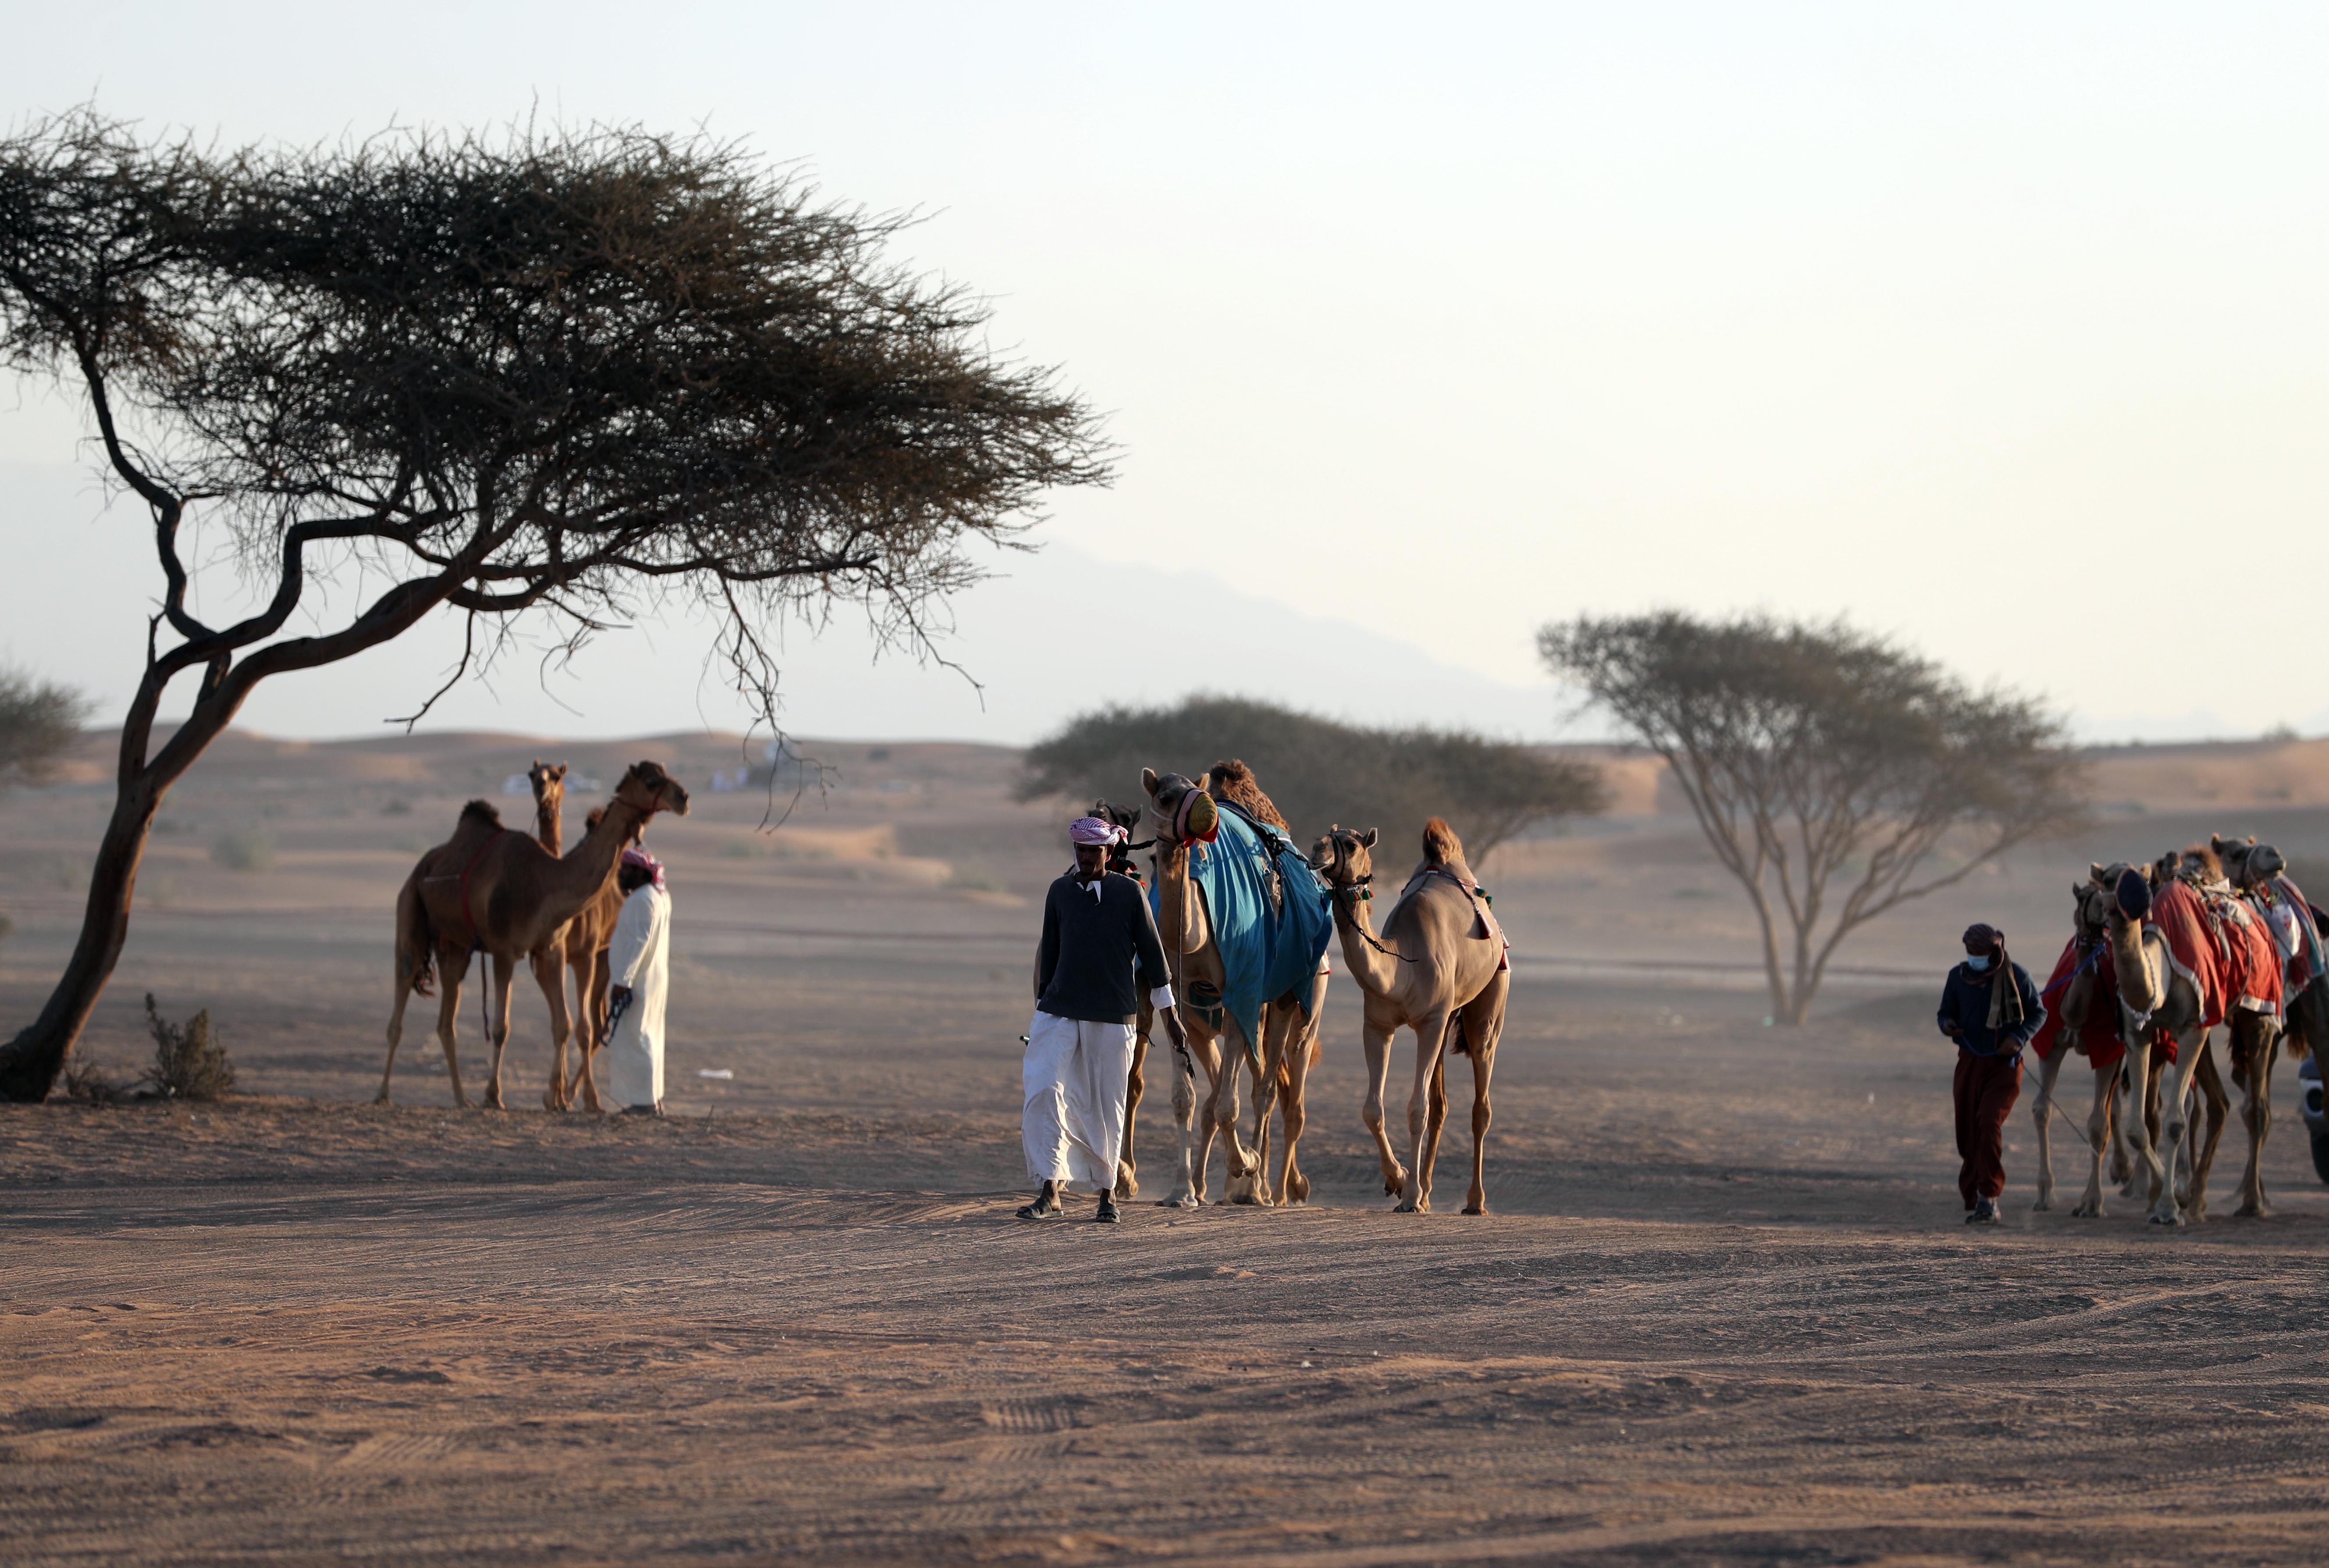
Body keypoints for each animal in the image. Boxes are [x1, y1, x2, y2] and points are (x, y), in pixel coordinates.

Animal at [379, 759, 689, 1109]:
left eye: (667, 775)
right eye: (652, 782)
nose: (684, 797)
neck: (545, 881)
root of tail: (422, 868)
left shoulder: (551, 949)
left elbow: (565, 1025)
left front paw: (560, 1100)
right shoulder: (505, 951)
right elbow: (502, 1027)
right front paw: (494, 1096)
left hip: (455, 947)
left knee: (447, 1023)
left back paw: (462, 1099)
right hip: (411, 912)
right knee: (401, 1000)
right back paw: (383, 1094)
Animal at [1141, 764, 1332, 1202]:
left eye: (1194, 790)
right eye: (1164, 797)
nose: (1205, 812)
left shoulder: (1239, 993)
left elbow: (1229, 1103)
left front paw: (1244, 1164)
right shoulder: (1179, 1002)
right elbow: (1187, 1098)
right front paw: (1181, 1191)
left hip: (1296, 1000)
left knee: (1269, 1090)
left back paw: (1260, 1189)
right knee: (1245, 1085)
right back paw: (1229, 1185)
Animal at [1313, 815, 1509, 1221]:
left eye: (1351, 845)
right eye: (1322, 837)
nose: (1316, 851)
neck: (1402, 965)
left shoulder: (1430, 1022)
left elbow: (1416, 1109)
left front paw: (1409, 1197)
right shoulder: (1377, 1026)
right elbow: (1373, 1109)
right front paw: (1400, 1180)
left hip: (1489, 1001)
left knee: (1480, 1105)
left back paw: (1475, 1201)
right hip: (1448, 1017)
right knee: (1442, 1104)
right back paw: (1429, 1193)